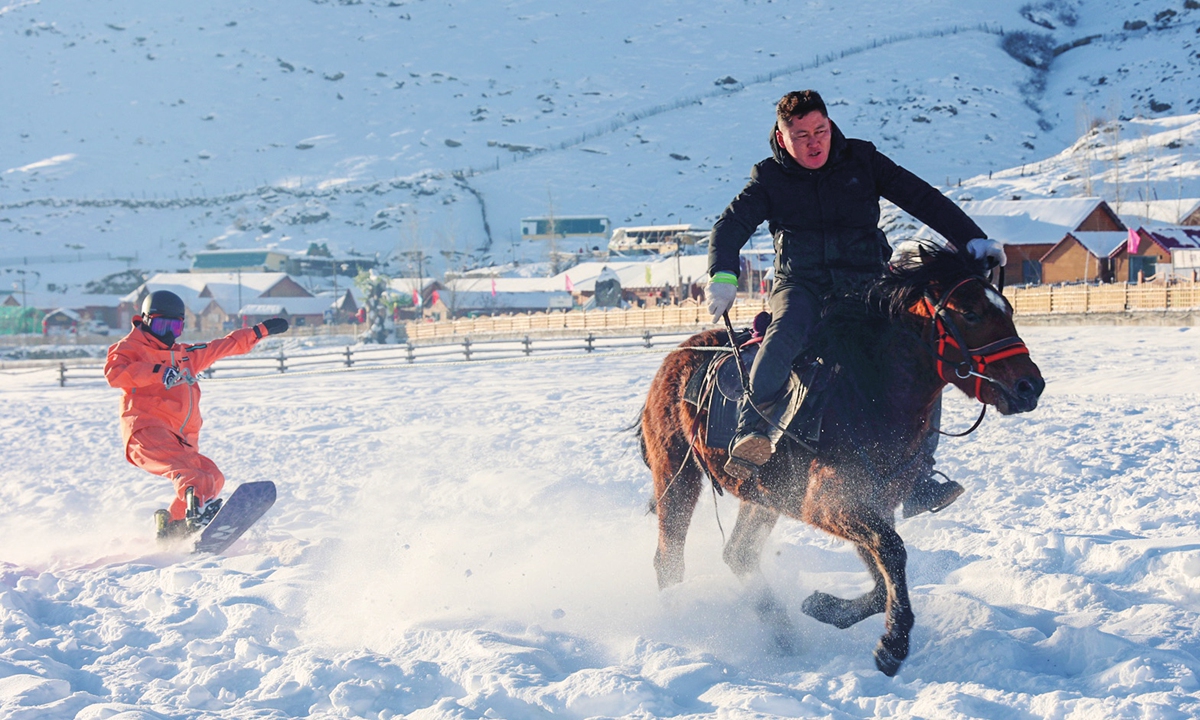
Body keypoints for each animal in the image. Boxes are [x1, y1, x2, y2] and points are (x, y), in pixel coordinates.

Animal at [643, 244, 1046, 676]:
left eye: (1006, 309)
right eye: (970, 313)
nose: (1031, 386)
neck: (870, 392)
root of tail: (679, 355)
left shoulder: (872, 504)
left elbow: (883, 576)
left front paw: (825, 607)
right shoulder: (829, 504)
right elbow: (893, 552)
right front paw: (893, 644)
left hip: (762, 497)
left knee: (738, 553)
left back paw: (784, 636)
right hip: (676, 474)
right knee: (668, 558)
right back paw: (680, 623)